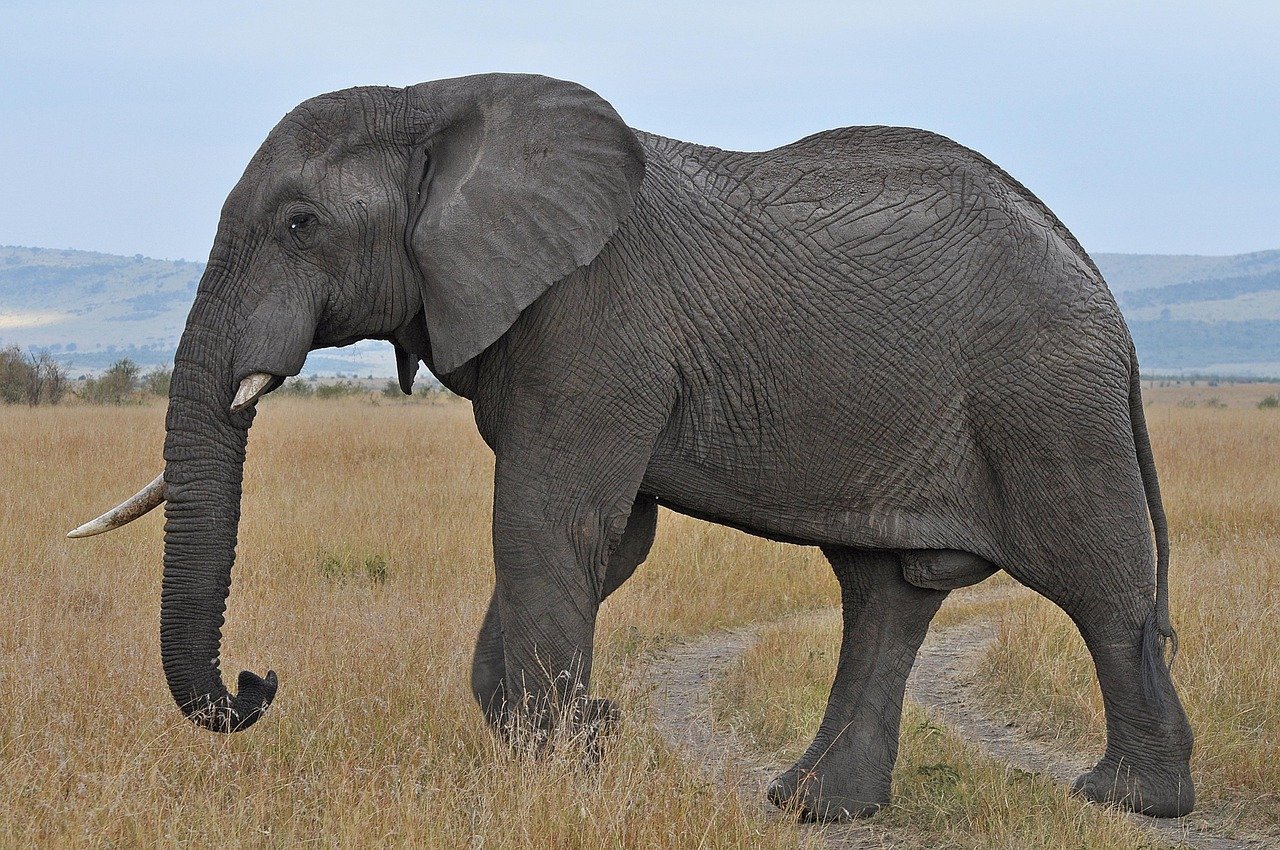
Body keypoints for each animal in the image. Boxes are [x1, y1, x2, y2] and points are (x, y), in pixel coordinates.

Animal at [71, 73, 1194, 821]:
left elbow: (547, 523)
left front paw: (568, 761)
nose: (257, 682)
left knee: (1096, 581)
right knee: (883, 594)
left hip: (1048, 400)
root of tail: (1109, 297)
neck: (435, 99)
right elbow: (605, 539)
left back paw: (1131, 801)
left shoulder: (593, 321)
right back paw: (811, 806)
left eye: (301, 223)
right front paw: (576, 739)